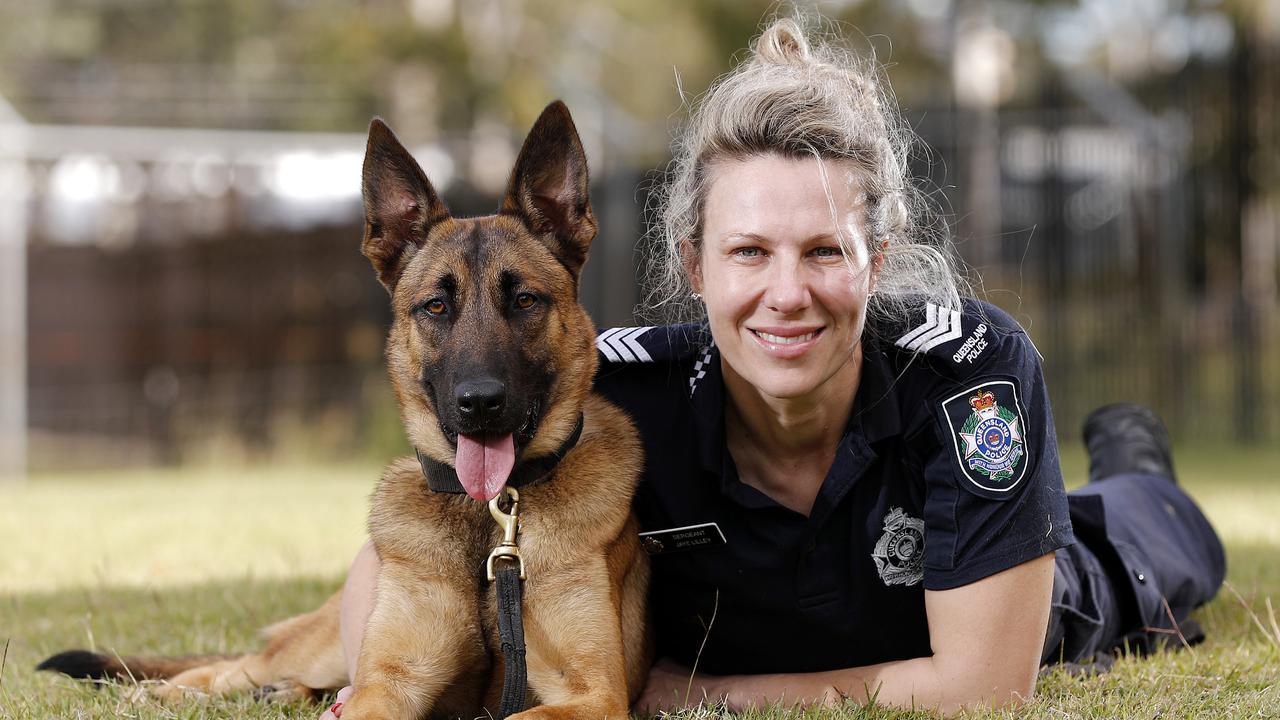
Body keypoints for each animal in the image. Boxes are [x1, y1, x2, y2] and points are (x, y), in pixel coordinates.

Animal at [38, 99, 650, 717]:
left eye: (524, 300)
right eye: (436, 306)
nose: (479, 403)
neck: (490, 522)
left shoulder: (593, 694)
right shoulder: (387, 683)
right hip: (315, 650)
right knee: (234, 667)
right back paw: (166, 692)